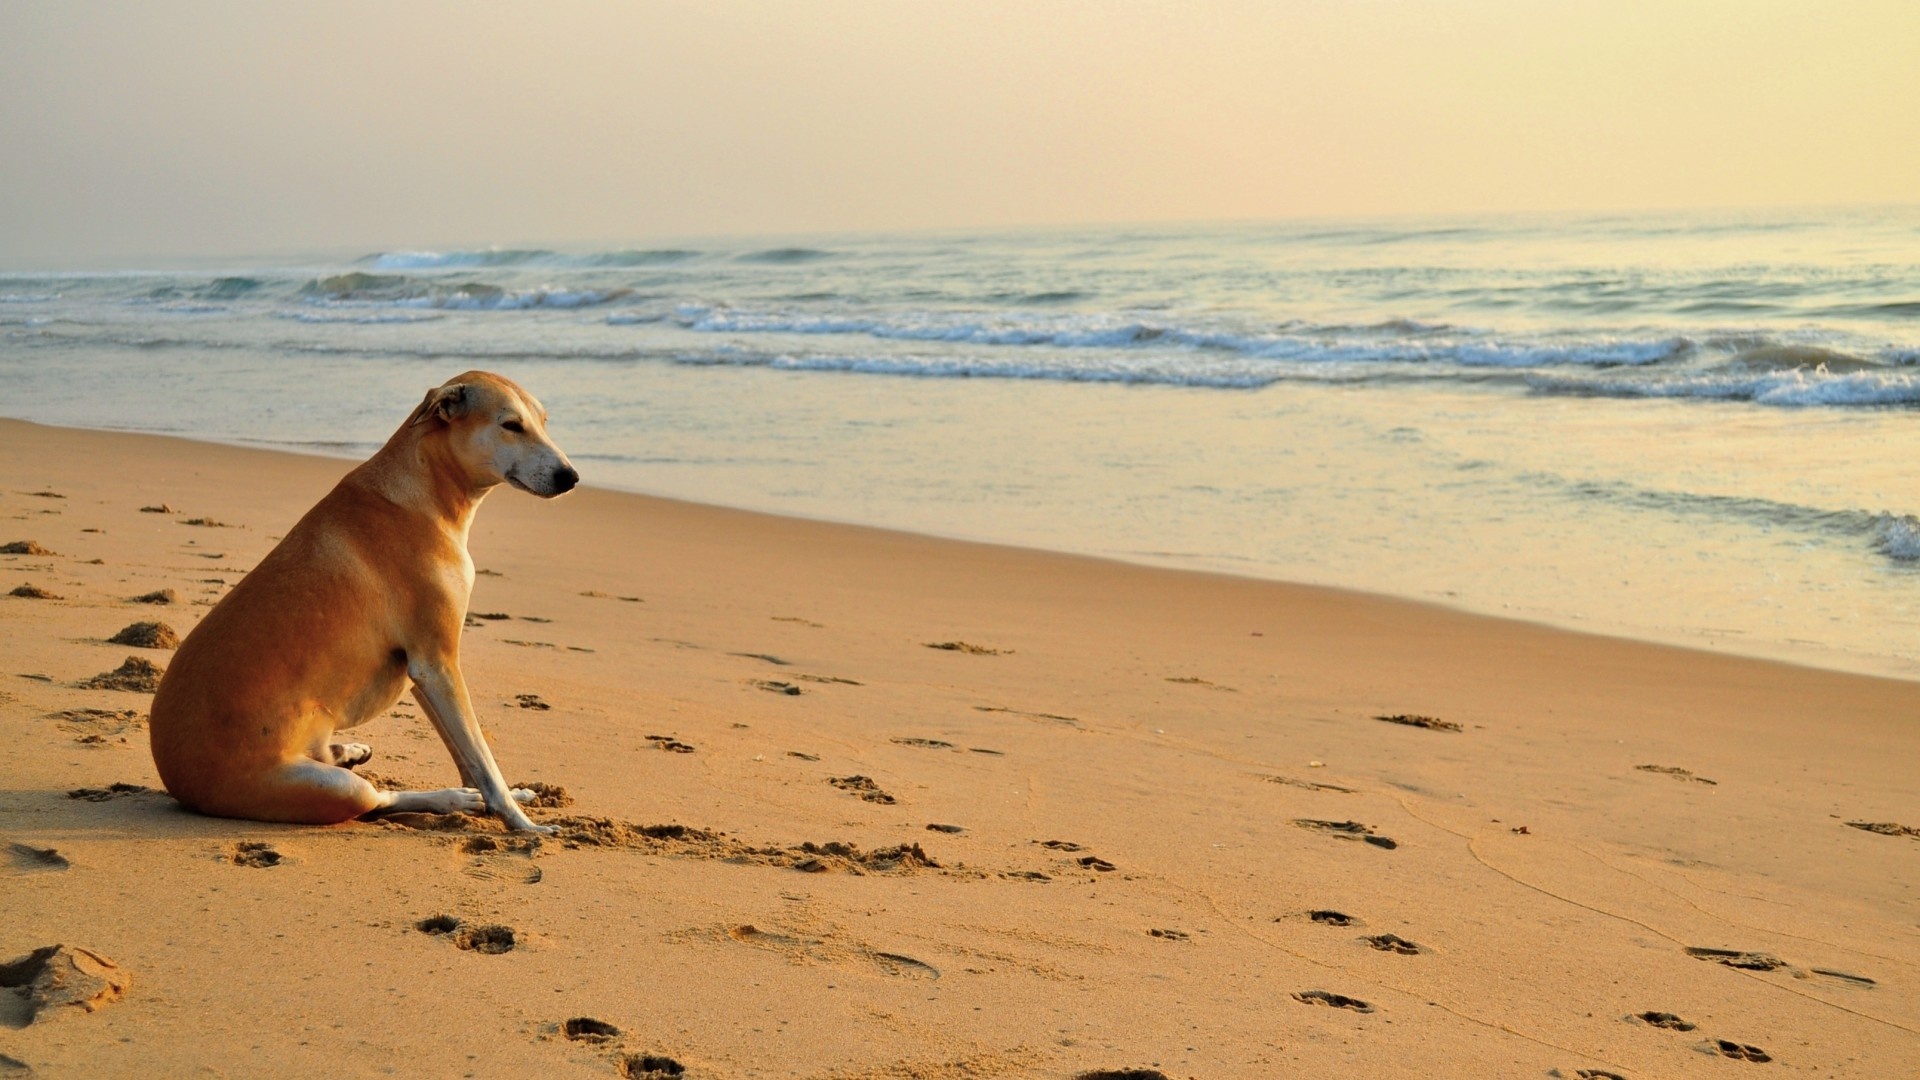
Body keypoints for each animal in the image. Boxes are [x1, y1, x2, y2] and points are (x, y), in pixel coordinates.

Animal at [150, 368, 576, 834]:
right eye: (510, 425)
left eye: (544, 422)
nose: (570, 477)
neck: (421, 492)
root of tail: (177, 781)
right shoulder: (437, 663)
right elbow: (483, 763)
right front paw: (520, 820)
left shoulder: (427, 675)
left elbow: (470, 758)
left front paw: (503, 799)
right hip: (329, 788)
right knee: (378, 800)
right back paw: (450, 797)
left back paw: (349, 752)